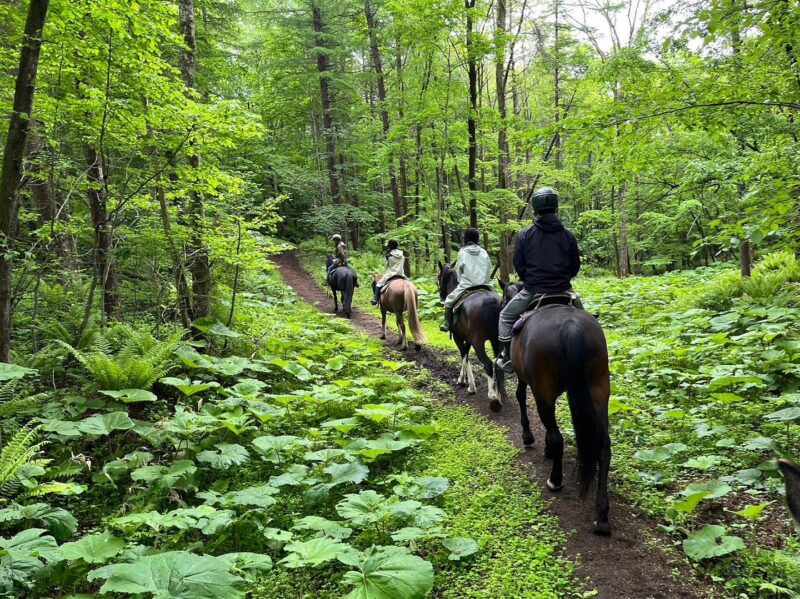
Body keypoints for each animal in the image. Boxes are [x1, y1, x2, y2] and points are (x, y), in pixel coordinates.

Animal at [438, 264, 506, 412]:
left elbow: (464, 356)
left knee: (488, 364)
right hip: (496, 340)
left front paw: (468, 384)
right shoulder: (468, 339)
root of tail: (491, 301)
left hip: (478, 342)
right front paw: (464, 380)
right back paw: (498, 394)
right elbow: (466, 355)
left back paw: (493, 397)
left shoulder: (458, 337)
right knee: (497, 362)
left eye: (438, 276)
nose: (441, 296)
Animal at [500, 282, 612, 540]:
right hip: (600, 391)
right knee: (603, 446)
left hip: (544, 391)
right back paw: (601, 516)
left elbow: (521, 397)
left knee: (557, 436)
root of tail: (571, 327)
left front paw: (528, 437)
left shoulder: (526, 380)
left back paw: (555, 479)